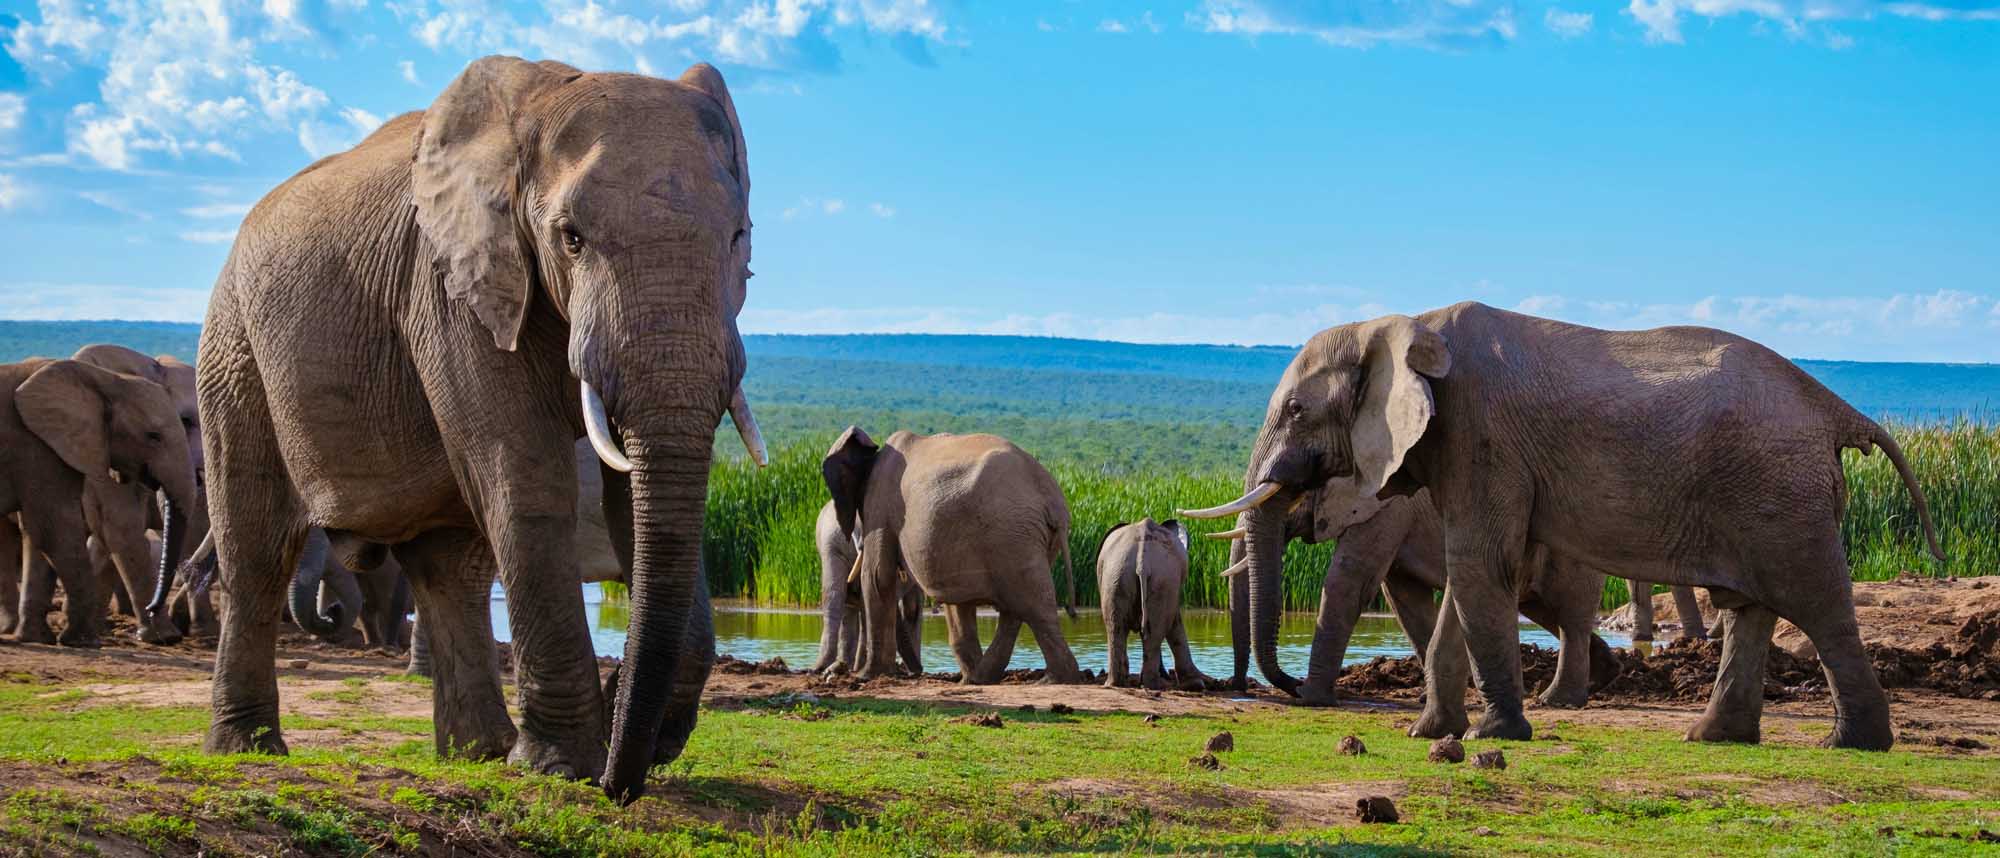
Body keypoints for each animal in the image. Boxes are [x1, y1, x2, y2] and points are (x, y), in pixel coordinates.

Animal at [194, 55, 765, 801]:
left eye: (739, 238)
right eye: (571, 238)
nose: (619, 785)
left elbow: (629, 499)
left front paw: (632, 735)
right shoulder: (451, 286)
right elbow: (525, 480)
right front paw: (562, 767)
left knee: (449, 569)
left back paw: (478, 754)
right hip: (234, 348)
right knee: (256, 548)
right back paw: (249, 750)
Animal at [822, 427, 1084, 684]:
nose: (915, 673)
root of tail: (1053, 500)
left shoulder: (879, 502)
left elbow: (878, 577)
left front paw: (867, 676)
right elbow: (957, 602)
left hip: (1011, 532)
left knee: (1030, 604)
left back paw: (1049, 680)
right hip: (1024, 537)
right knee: (1019, 605)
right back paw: (980, 679)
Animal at [1096, 518, 1210, 691]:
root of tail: (1142, 562)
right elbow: (1174, 621)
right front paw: (1194, 684)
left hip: (1119, 575)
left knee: (1117, 627)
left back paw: (1118, 684)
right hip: (1154, 578)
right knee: (1151, 631)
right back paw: (1153, 685)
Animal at [1207, 489, 1621, 709]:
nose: (1237, 685)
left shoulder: (1386, 508)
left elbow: (1351, 581)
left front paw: (1312, 696)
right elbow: (1404, 598)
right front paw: (1434, 696)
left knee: (1570, 612)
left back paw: (1558, 700)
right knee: (1546, 610)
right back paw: (1601, 679)